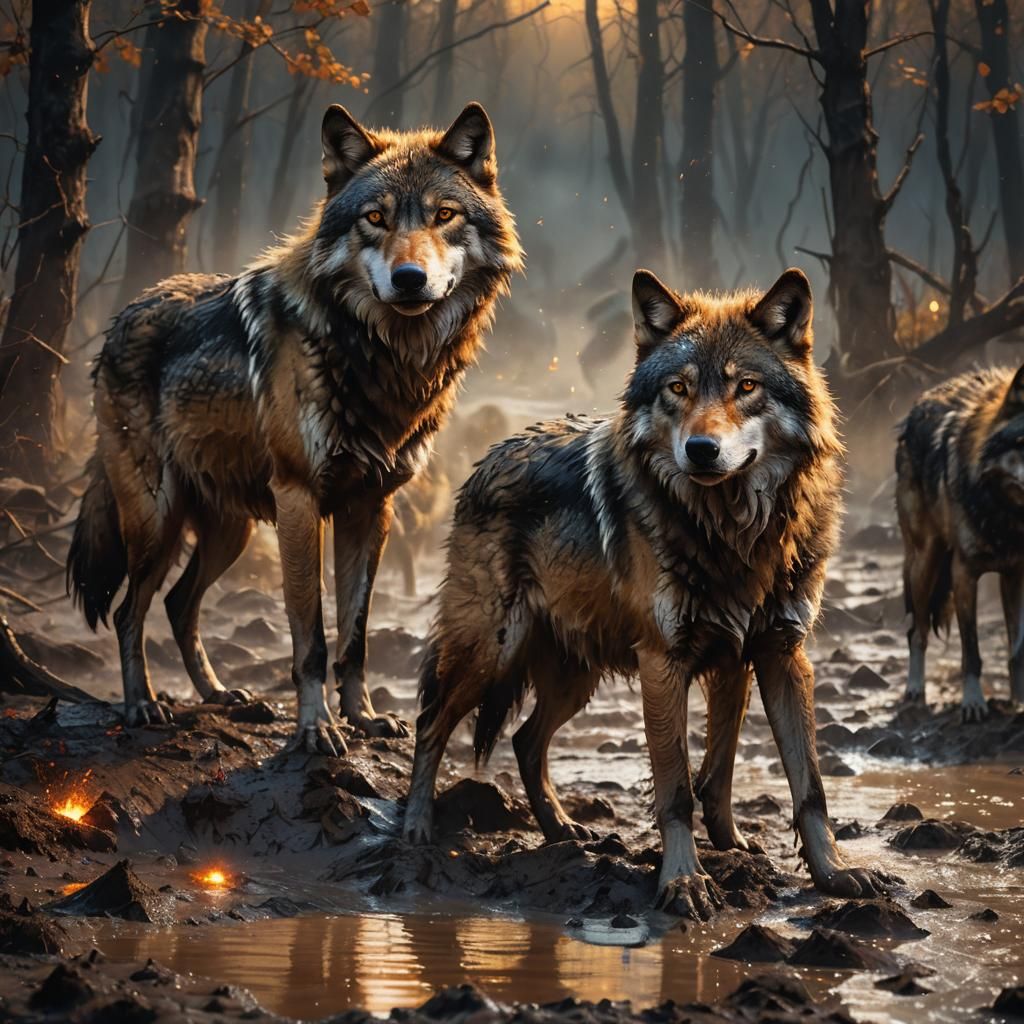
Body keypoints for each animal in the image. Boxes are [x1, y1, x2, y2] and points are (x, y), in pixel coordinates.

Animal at [67, 103, 523, 754]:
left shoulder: (371, 506)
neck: (380, 358)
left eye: (444, 215)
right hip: (158, 519)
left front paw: (363, 718)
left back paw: (221, 695)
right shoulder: (300, 499)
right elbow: (311, 636)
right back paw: (142, 705)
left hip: (228, 531)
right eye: (375, 218)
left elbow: (355, 635)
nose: (410, 278)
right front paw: (317, 728)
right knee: (132, 611)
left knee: (179, 604)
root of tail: (122, 316)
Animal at [402, 268, 889, 917]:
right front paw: (683, 881)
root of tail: (490, 457)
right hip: (491, 653)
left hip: (575, 676)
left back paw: (560, 830)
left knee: (527, 740)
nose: (701, 450)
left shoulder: (779, 655)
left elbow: (799, 784)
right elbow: (676, 788)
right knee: (431, 724)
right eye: (678, 388)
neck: (732, 532)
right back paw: (415, 828)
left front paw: (831, 873)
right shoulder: (665, 662)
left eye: (747, 387)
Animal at [896, 365, 1024, 721]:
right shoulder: (964, 574)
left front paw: (1019, 701)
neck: (1004, 513)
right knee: (917, 631)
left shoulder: (1015, 574)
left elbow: (1017, 651)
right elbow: (971, 650)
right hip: (924, 563)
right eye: (1023, 443)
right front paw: (973, 702)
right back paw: (915, 691)